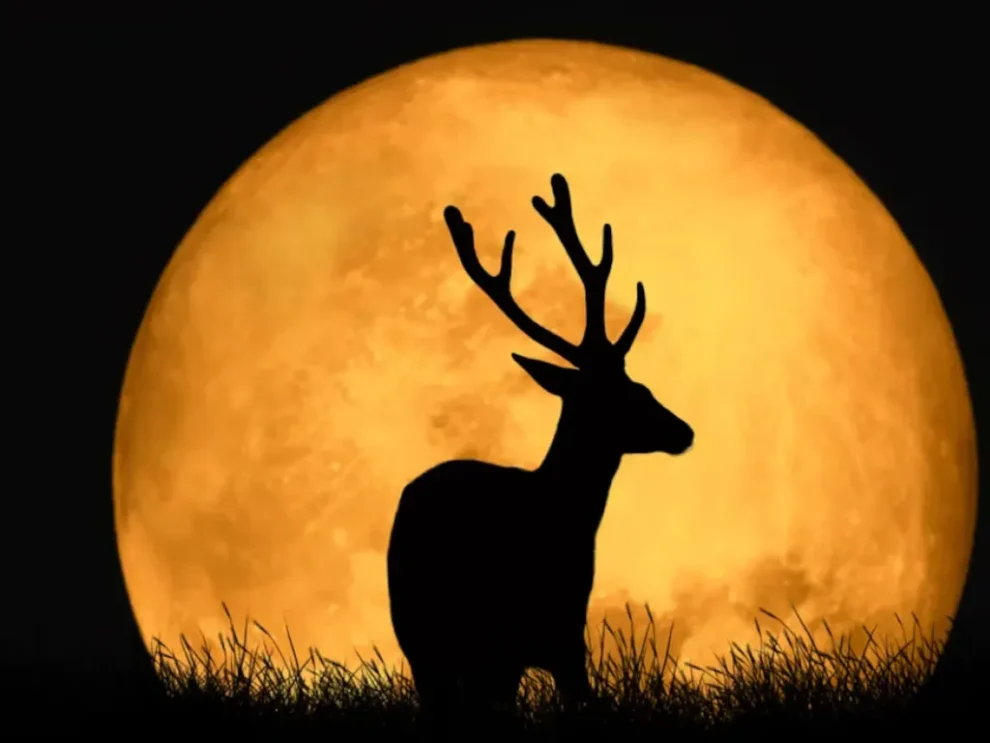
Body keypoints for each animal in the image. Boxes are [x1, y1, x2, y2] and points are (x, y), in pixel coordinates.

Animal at [386, 173, 694, 729]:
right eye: (630, 392)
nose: (683, 430)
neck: (560, 518)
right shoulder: (555, 639)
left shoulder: (551, 640)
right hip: (436, 639)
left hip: (428, 640)